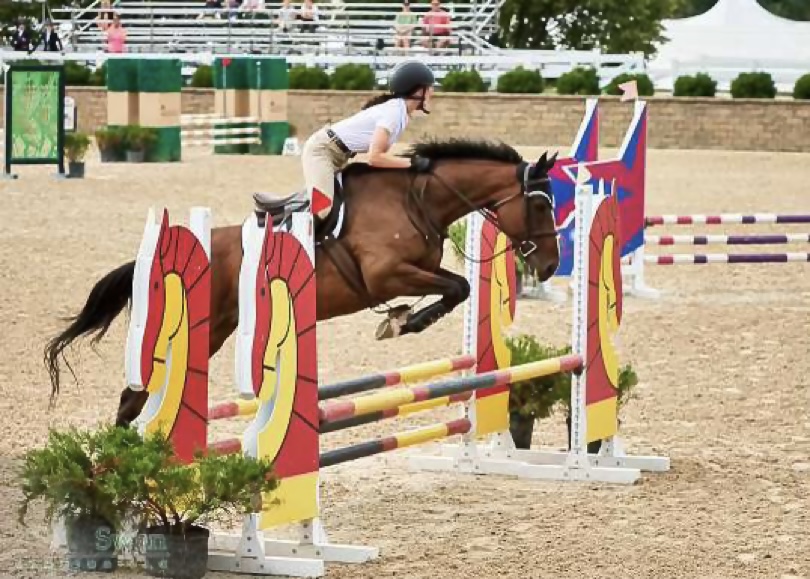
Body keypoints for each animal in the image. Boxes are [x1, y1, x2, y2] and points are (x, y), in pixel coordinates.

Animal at [44, 137, 560, 426]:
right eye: (540, 205)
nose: (552, 266)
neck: (417, 199)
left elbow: (458, 287)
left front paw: (400, 319)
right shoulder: (385, 275)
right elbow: (457, 287)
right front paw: (401, 322)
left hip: (216, 331)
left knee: (139, 395)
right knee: (136, 393)